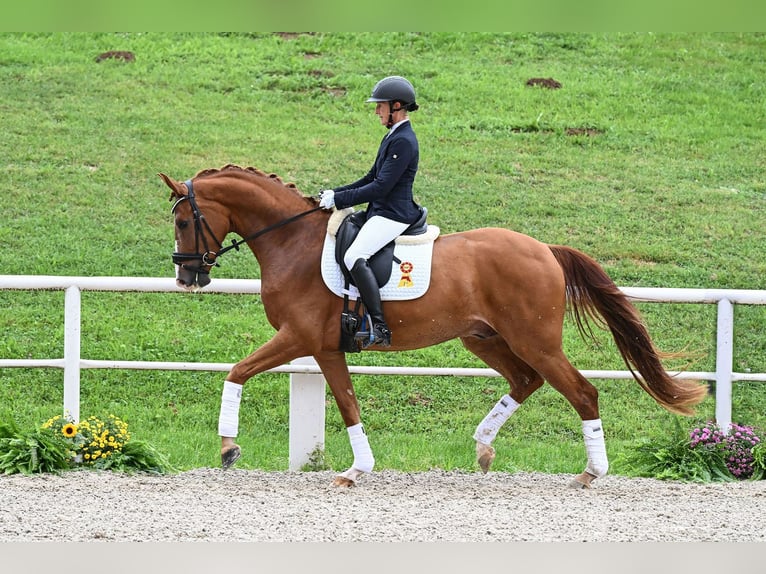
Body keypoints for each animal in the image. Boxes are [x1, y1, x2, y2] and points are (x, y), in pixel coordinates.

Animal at [160, 165, 708, 490]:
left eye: (185, 222)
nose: (188, 277)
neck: (292, 243)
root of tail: (544, 250)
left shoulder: (300, 337)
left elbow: (238, 371)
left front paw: (229, 448)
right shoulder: (325, 347)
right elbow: (348, 403)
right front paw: (357, 468)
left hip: (534, 340)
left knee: (582, 392)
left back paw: (591, 472)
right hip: (483, 337)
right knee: (525, 380)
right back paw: (484, 448)